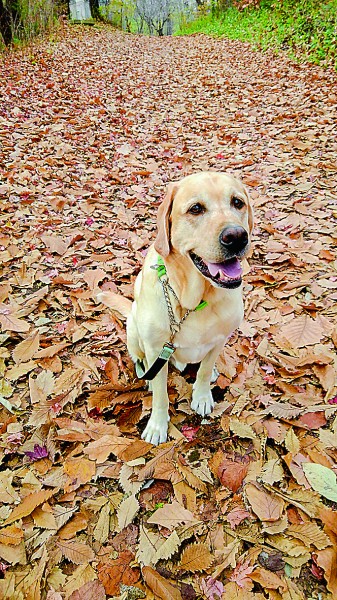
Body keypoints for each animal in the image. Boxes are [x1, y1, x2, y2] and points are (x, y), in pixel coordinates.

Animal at [98, 171, 253, 442]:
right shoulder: (157, 347)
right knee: (141, 360)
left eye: (237, 203)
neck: (193, 301)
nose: (237, 237)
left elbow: (204, 371)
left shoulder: (220, 339)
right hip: (134, 331)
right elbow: (161, 395)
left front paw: (202, 395)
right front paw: (158, 425)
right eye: (196, 209)